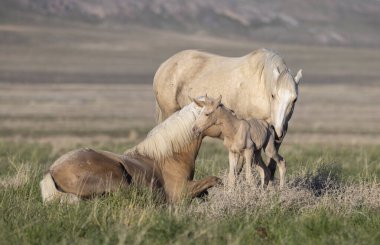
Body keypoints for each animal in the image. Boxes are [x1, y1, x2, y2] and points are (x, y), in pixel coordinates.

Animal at [153, 48, 302, 181]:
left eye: (294, 99)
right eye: (273, 95)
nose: (278, 131)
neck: (261, 87)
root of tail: (164, 66)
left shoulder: (274, 140)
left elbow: (270, 168)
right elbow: (240, 168)